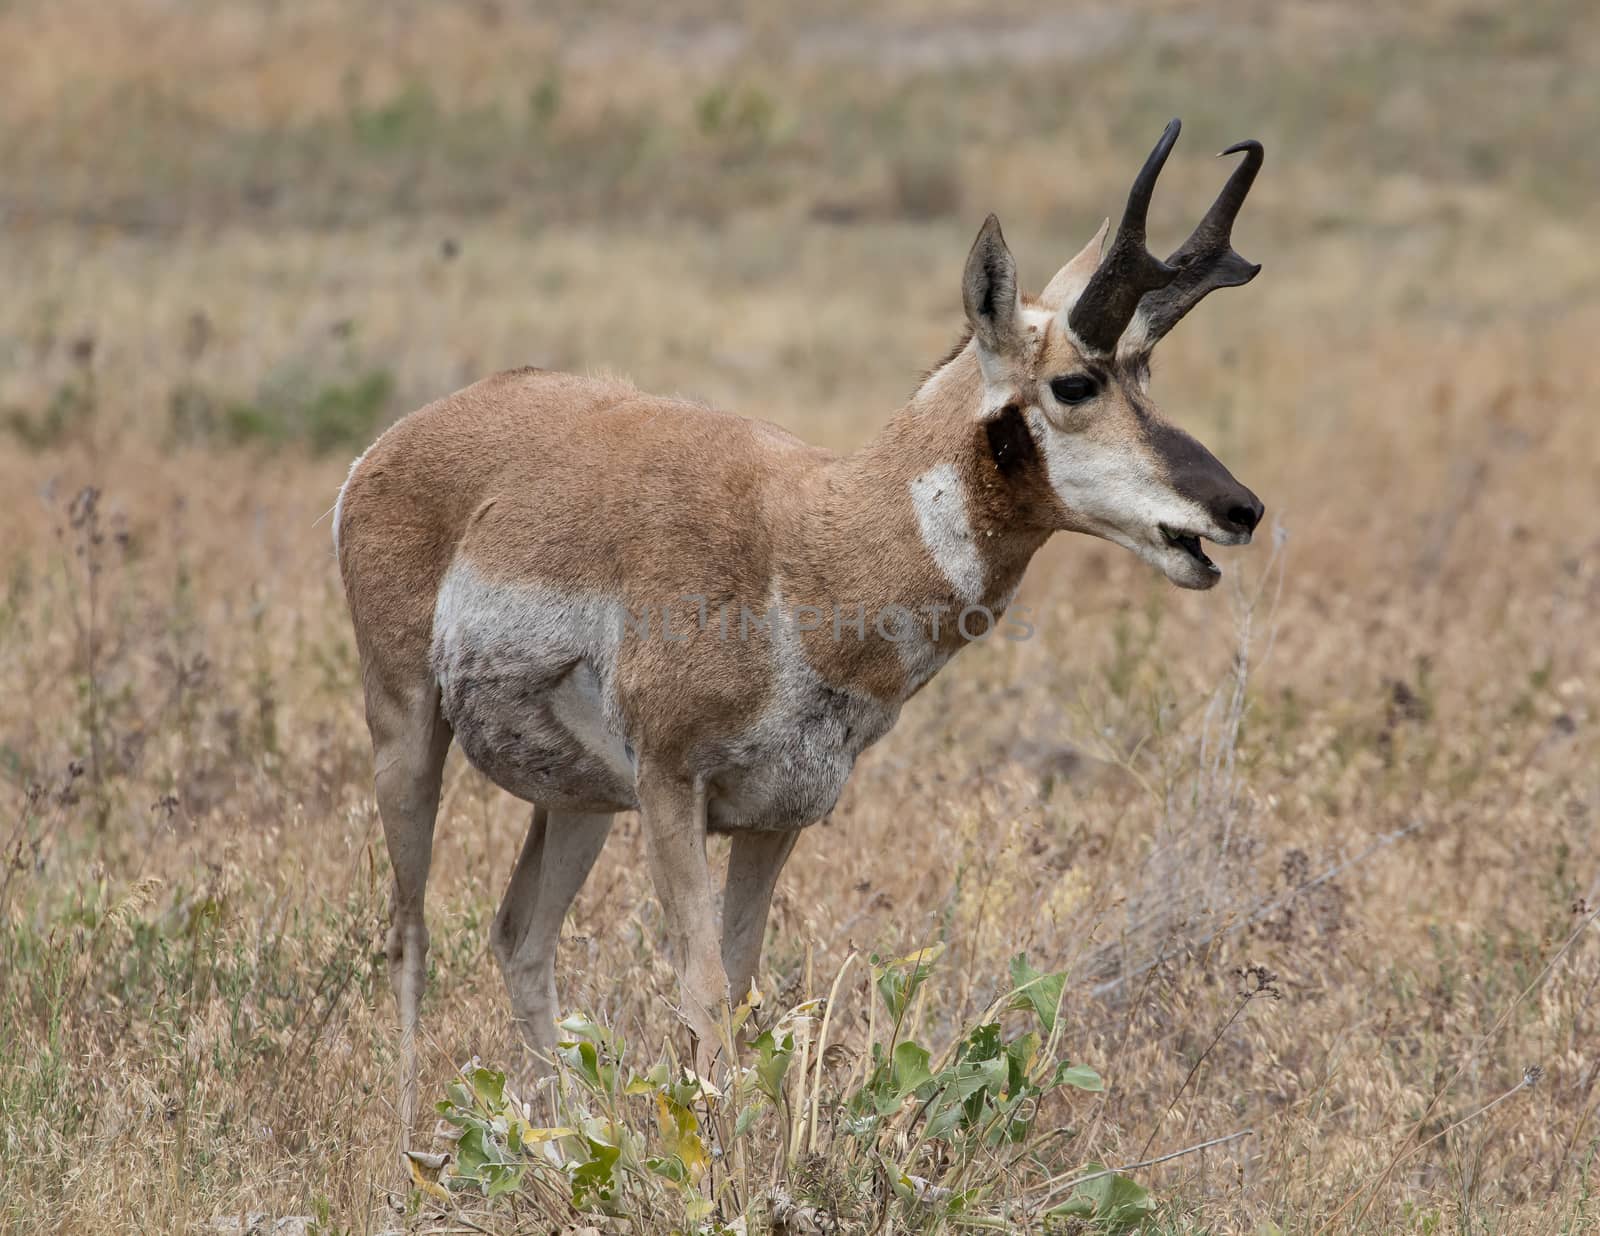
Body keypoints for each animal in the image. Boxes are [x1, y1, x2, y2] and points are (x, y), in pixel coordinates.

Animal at [334, 120, 1260, 1133]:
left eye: (1145, 372)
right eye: (1075, 383)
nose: (1240, 508)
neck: (805, 539)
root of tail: (395, 442)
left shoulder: (773, 818)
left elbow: (736, 991)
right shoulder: (672, 790)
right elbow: (701, 990)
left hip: (579, 803)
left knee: (519, 937)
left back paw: (555, 1132)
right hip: (409, 734)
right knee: (411, 934)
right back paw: (409, 1139)